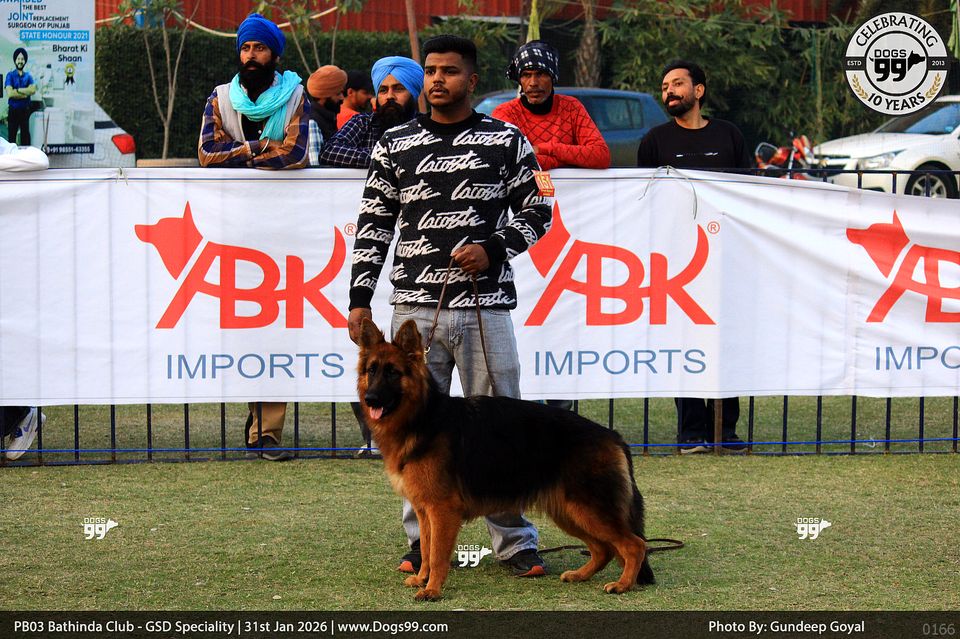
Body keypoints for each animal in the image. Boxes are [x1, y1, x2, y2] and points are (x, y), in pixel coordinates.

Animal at [357, 318, 655, 601]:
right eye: (371, 370)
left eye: (393, 372)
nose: (370, 399)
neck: (422, 417)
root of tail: (613, 435)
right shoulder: (424, 510)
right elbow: (428, 550)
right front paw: (422, 579)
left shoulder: (442, 510)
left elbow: (438, 554)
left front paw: (432, 590)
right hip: (571, 512)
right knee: (604, 549)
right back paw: (581, 575)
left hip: (588, 510)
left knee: (634, 545)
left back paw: (622, 585)